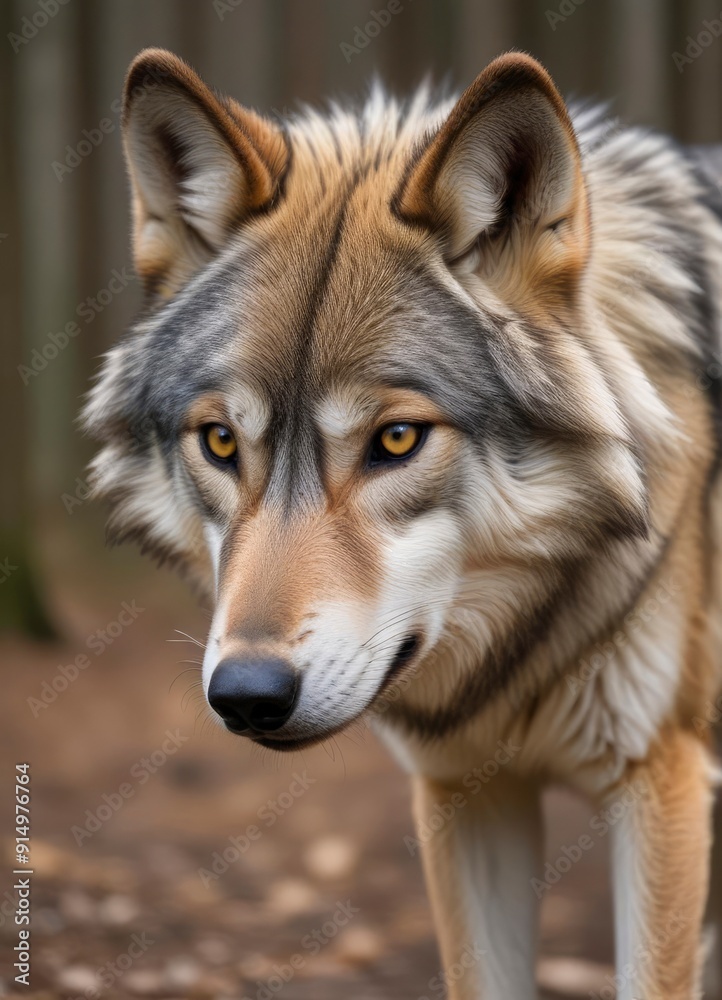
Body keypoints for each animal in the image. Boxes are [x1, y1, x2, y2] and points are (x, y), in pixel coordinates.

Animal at [84, 48, 722, 999]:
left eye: (396, 438)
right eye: (222, 441)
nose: (247, 695)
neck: (515, 655)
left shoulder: (662, 786)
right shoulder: (465, 793)